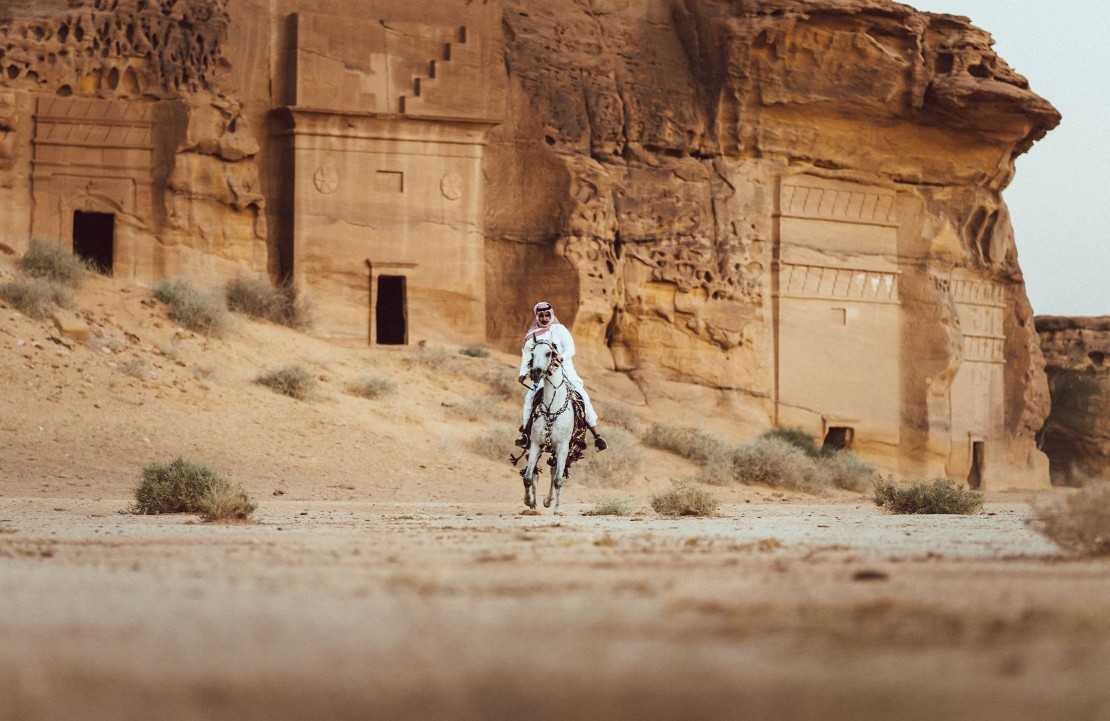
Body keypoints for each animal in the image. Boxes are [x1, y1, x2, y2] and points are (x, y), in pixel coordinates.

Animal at [519, 337, 572, 510]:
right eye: (532, 353)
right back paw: (537, 503)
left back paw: (549, 501)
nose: (535, 372)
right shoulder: (536, 443)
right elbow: (528, 477)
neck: (552, 408)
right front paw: (529, 501)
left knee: (554, 471)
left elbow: (558, 480)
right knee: (539, 473)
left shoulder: (563, 447)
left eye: (549, 353)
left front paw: (558, 509)